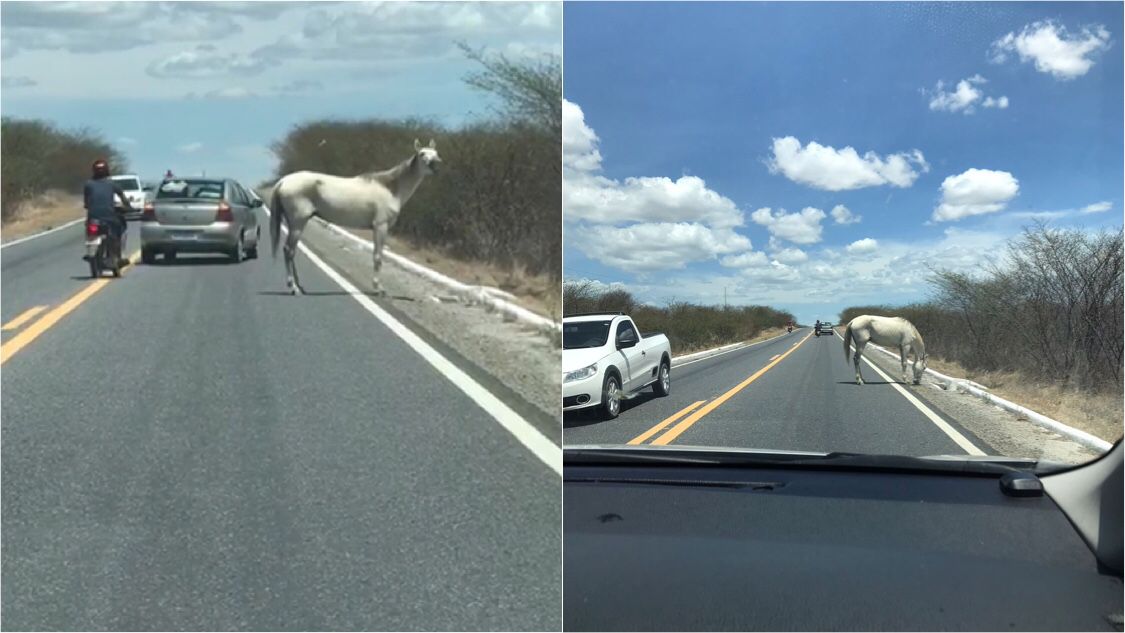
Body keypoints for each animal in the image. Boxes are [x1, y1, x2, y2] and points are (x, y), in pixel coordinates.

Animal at [269, 139, 442, 295]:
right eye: (422, 153)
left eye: (436, 153)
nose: (436, 165)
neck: (390, 188)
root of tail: (283, 181)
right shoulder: (380, 226)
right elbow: (378, 257)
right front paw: (378, 289)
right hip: (298, 223)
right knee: (288, 250)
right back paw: (293, 287)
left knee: (291, 251)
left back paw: (298, 285)